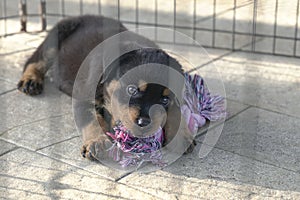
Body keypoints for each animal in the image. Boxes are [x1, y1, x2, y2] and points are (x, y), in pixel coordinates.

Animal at [17, 15, 195, 161]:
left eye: (165, 100)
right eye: (131, 90)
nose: (144, 123)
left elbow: (176, 112)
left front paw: (181, 136)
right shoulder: (83, 99)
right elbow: (91, 121)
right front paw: (98, 142)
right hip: (54, 39)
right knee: (34, 60)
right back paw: (30, 81)